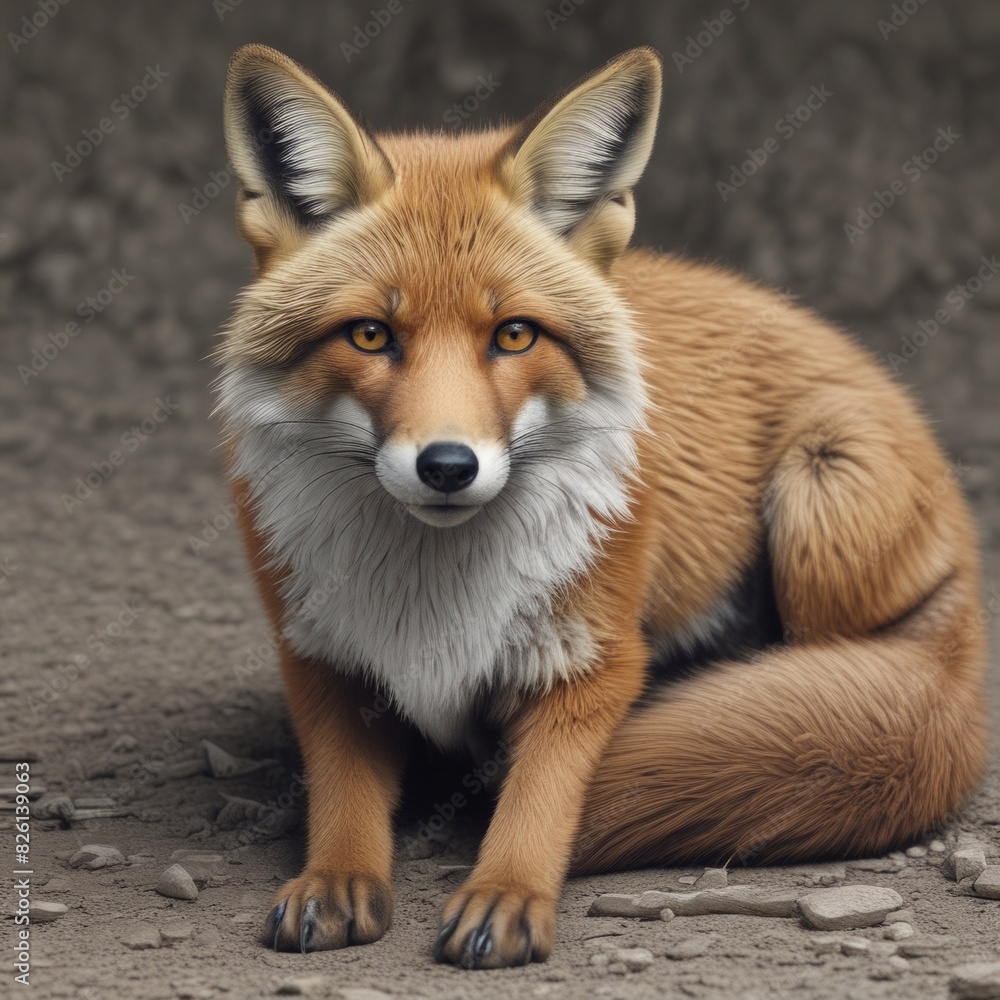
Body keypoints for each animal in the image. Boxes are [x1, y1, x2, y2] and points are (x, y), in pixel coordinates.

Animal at [216, 44, 988, 968]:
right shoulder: (323, 658)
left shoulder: (592, 660)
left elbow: (539, 799)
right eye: (371, 335)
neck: (433, 593)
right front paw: (334, 879)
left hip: (822, 488)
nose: (448, 466)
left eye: (514, 335)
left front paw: (507, 891)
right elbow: (344, 800)